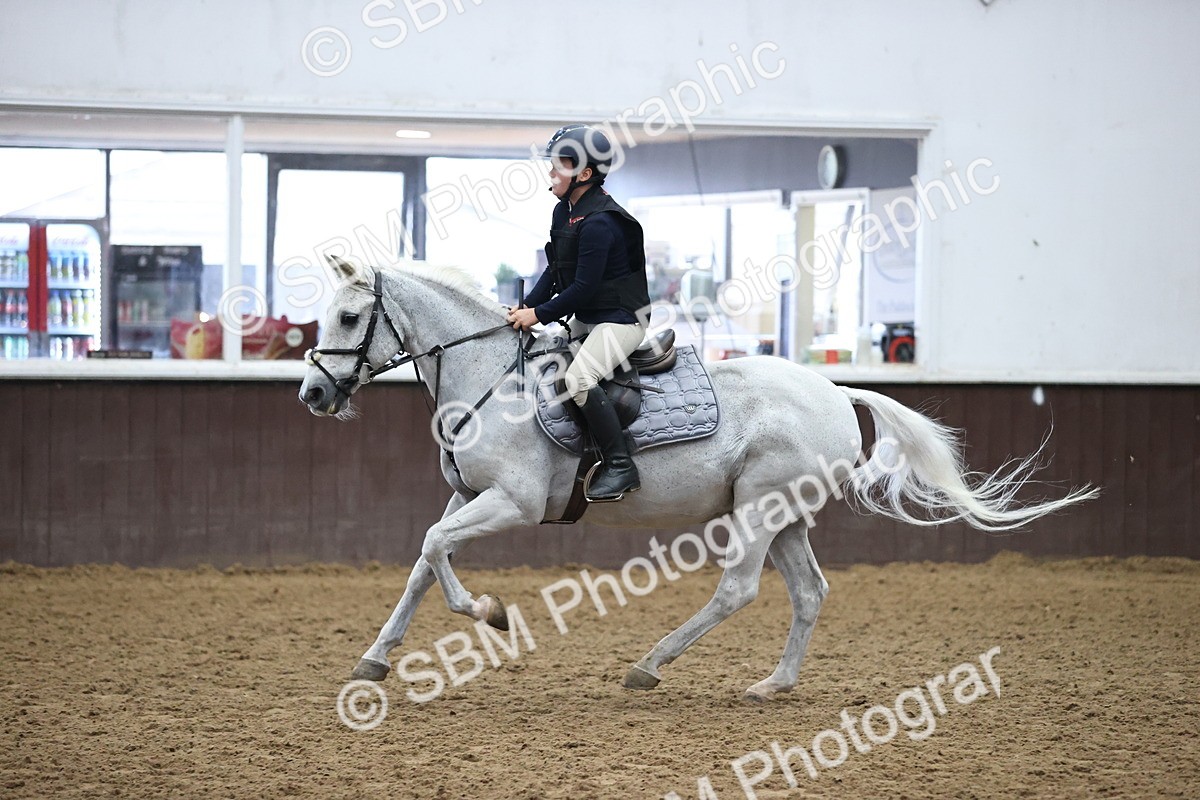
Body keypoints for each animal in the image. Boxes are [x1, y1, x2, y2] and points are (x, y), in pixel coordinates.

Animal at [298, 257, 1096, 701]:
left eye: (350, 316)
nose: (311, 395)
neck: (490, 377)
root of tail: (837, 392)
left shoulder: (512, 502)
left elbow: (434, 550)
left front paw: (490, 613)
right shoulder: (468, 494)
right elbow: (422, 561)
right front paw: (374, 659)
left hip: (759, 510)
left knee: (738, 589)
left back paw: (649, 666)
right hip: (784, 514)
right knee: (809, 592)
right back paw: (773, 684)